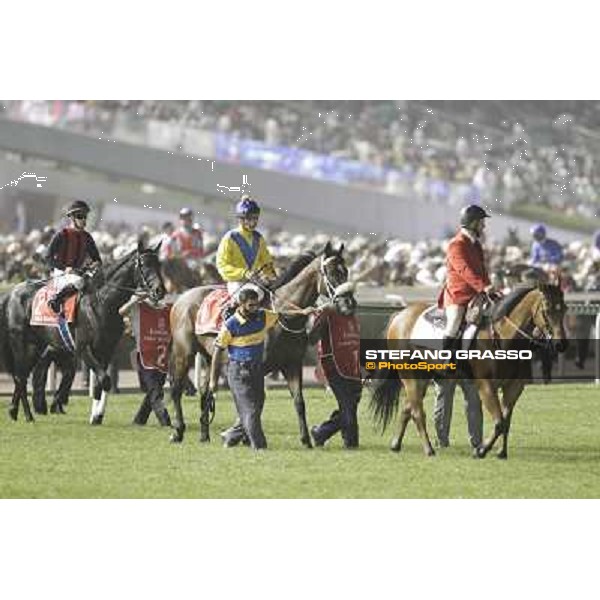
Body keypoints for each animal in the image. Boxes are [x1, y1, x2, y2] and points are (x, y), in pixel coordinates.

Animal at [4, 241, 165, 424]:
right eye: (144, 265)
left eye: (159, 264)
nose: (159, 291)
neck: (102, 302)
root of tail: (12, 292)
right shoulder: (83, 348)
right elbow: (105, 380)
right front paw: (94, 415)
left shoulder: (106, 350)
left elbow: (100, 384)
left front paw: (96, 416)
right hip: (21, 343)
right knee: (20, 377)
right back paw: (28, 415)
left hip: (36, 346)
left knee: (22, 376)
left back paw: (14, 411)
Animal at [166, 243, 354, 446]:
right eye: (332, 272)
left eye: (346, 271)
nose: (349, 303)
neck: (283, 316)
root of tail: (181, 298)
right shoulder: (258, 367)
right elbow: (253, 402)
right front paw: (242, 436)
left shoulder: (292, 365)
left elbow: (299, 402)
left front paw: (305, 440)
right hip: (183, 353)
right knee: (176, 389)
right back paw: (178, 431)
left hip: (210, 357)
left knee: (206, 393)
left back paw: (204, 435)